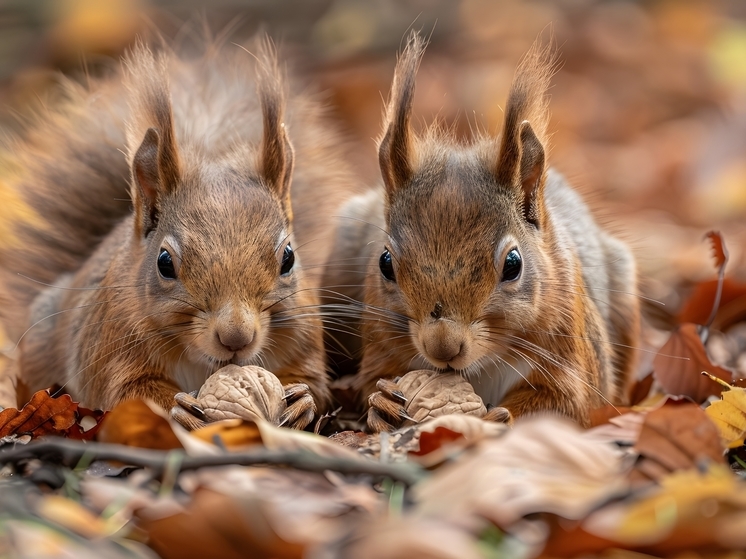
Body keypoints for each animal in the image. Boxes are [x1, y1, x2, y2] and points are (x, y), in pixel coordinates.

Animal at [0, 38, 346, 428]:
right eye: (164, 263)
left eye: (288, 258)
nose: (236, 337)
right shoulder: (113, 352)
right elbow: (129, 395)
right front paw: (179, 409)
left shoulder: (304, 338)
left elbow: (313, 381)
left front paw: (301, 400)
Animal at [322, 32, 644, 430]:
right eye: (384, 263)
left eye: (513, 264)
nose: (443, 346)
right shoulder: (383, 343)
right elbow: (374, 379)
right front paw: (382, 403)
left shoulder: (571, 356)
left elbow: (567, 403)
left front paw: (496, 419)